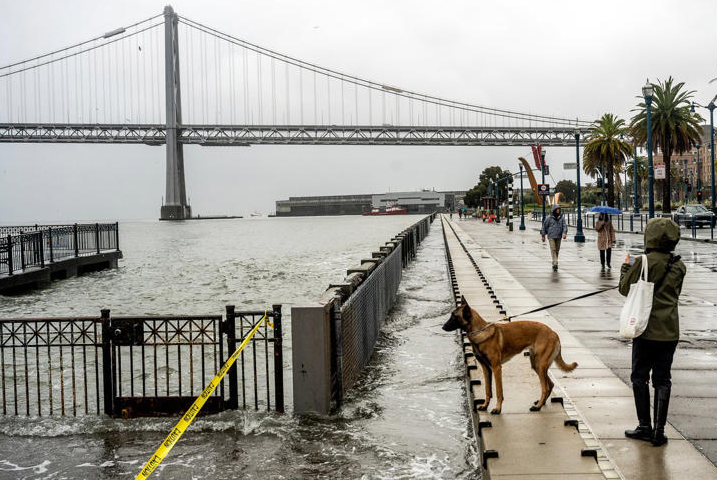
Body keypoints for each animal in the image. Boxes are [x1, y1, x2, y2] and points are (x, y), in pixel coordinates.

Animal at [442, 294, 576, 414]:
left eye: (454, 317)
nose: (443, 327)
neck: (480, 332)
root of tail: (554, 333)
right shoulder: (486, 369)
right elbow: (487, 390)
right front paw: (485, 405)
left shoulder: (496, 368)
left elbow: (498, 391)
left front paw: (497, 409)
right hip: (536, 365)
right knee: (550, 385)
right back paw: (540, 403)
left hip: (540, 364)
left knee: (545, 387)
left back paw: (537, 407)